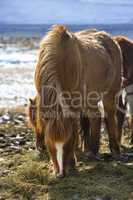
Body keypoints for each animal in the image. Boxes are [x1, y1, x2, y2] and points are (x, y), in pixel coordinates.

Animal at [34, 25, 121, 177]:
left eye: (67, 142)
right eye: (50, 142)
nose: (60, 174)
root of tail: (111, 40)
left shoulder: (74, 102)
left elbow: (74, 128)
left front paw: (72, 163)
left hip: (110, 93)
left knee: (109, 115)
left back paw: (114, 150)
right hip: (89, 98)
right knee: (95, 116)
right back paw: (91, 151)